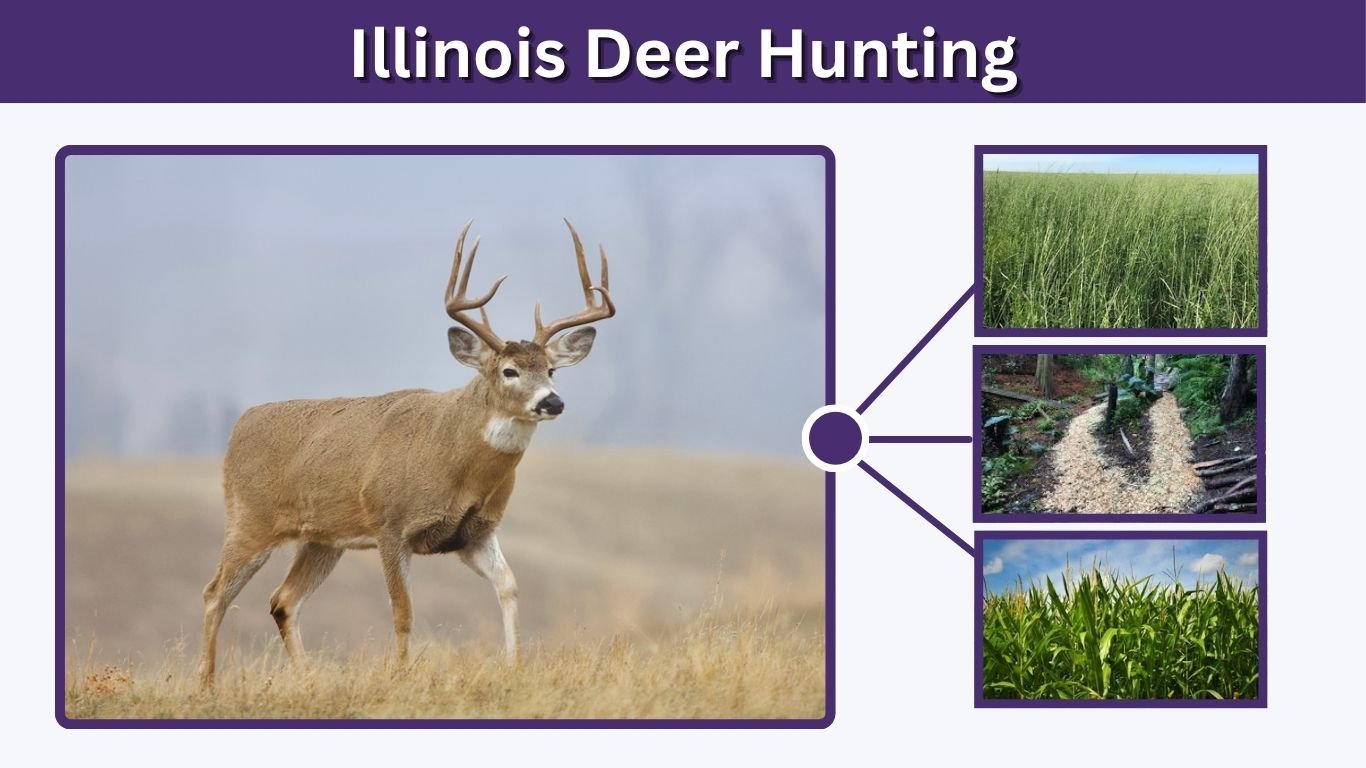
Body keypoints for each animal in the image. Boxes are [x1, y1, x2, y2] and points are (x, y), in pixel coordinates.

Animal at [197, 219, 615, 686]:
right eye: (509, 371)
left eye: (551, 370)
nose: (553, 402)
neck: (455, 463)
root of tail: (239, 426)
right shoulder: (391, 525)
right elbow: (403, 612)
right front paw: (399, 675)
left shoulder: (475, 532)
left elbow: (509, 585)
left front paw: (515, 667)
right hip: (250, 519)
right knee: (215, 593)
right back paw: (206, 683)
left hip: (322, 539)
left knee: (283, 599)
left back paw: (309, 679)